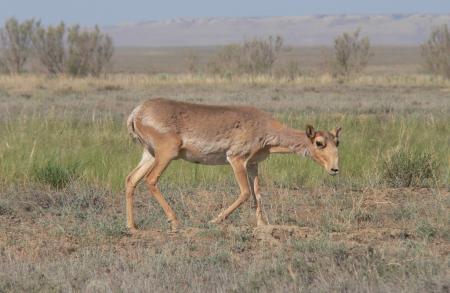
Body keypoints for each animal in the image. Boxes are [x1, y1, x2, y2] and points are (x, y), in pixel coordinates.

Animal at [125, 99, 340, 232]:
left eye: (337, 142)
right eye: (319, 142)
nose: (334, 169)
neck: (265, 127)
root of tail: (136, 113)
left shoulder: (253, 165)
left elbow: (257, 194)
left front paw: (262, 225)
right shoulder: (236, 159)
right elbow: (245, 193)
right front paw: (214, 220)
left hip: (150, 155)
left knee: (131, 179)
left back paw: (132, 226)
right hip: (166, 154)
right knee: (150, 180)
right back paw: (175, 222)